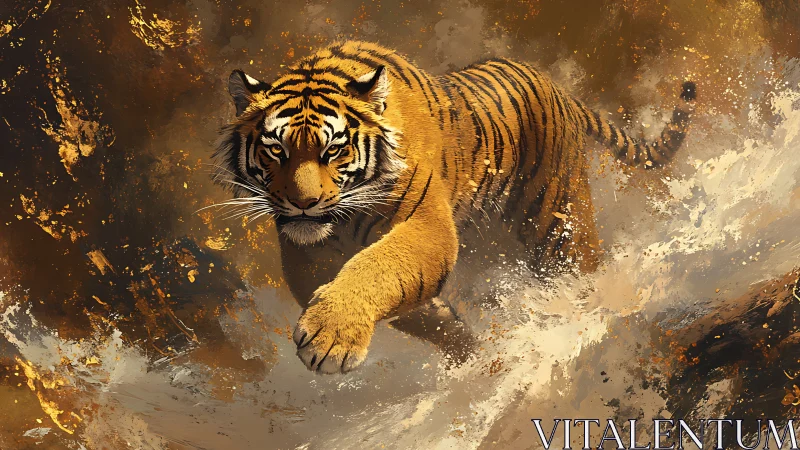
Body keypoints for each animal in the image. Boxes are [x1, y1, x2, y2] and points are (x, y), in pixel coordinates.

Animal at [213, 40, 695, 374]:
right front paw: (464, 346)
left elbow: (377, 266)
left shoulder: (424, 225)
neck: (342, 222)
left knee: (583, 265)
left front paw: (332, 336)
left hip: (555, 221)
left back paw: (600, 305)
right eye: (276, 150)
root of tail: (557, 87)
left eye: (334, 149)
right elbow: (413, 307)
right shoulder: (306, 256)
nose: (303, 204)